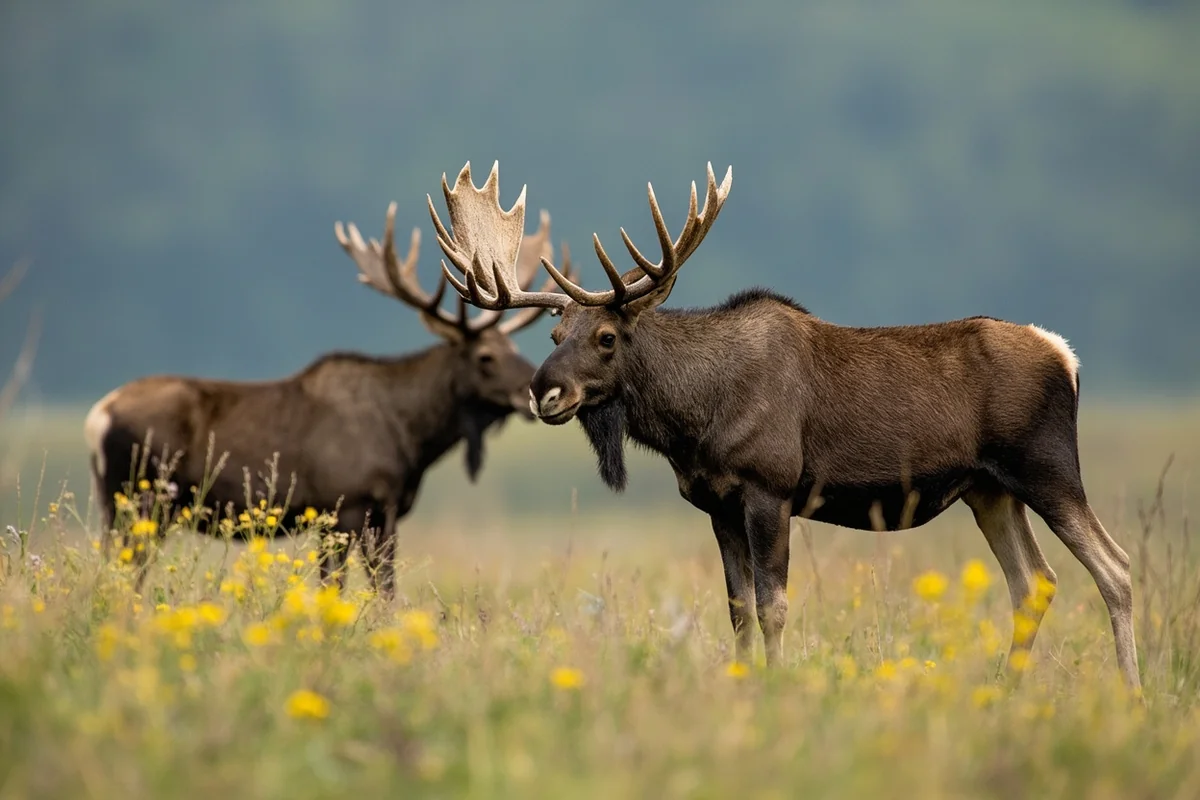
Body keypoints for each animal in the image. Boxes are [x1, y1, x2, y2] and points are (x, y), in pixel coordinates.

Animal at [84, 202, 570, 597]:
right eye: (486, 356)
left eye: (515, 348)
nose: (533, 391)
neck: (412, 437)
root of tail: (96, 419)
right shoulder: (350, 506)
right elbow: (358, 588)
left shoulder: (366, 515)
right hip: (140, 502)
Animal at [423, 160, 1141, 692]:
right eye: (553, 333)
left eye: (606, 336)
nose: (544, 391)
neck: (693, 423)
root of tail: (1067, 357)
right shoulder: (715, 502)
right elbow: (738, 609)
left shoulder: (771, 488)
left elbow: (774, 607)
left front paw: (775, 686)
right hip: (989, 490)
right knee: (1034, 583)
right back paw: (1005, 691)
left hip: (1047, 467)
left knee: (1116, 566)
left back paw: (1131, 694)